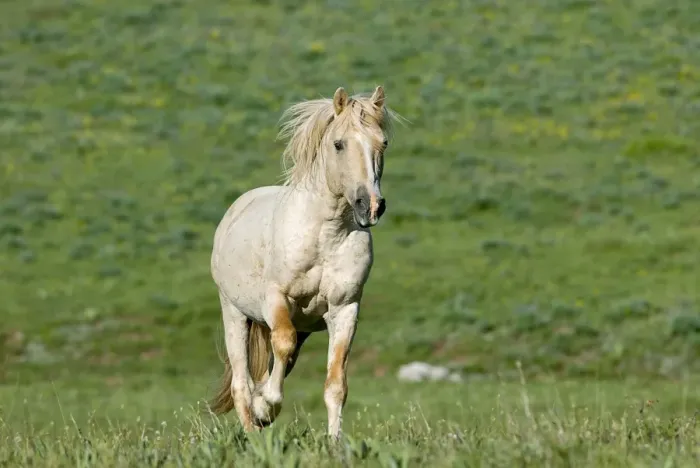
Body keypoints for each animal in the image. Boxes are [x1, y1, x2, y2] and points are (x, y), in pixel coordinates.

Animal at [208, 86, 398, 439]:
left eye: (383, 143)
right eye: (338, 144)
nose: (370, 206)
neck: (325, 235)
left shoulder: (345, 309)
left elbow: (336, 384)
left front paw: (335, 442)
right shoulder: (275, 299)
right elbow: (282, 344)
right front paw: (266, 405)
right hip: (235, 314)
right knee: (242, 382)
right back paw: (254, 430)